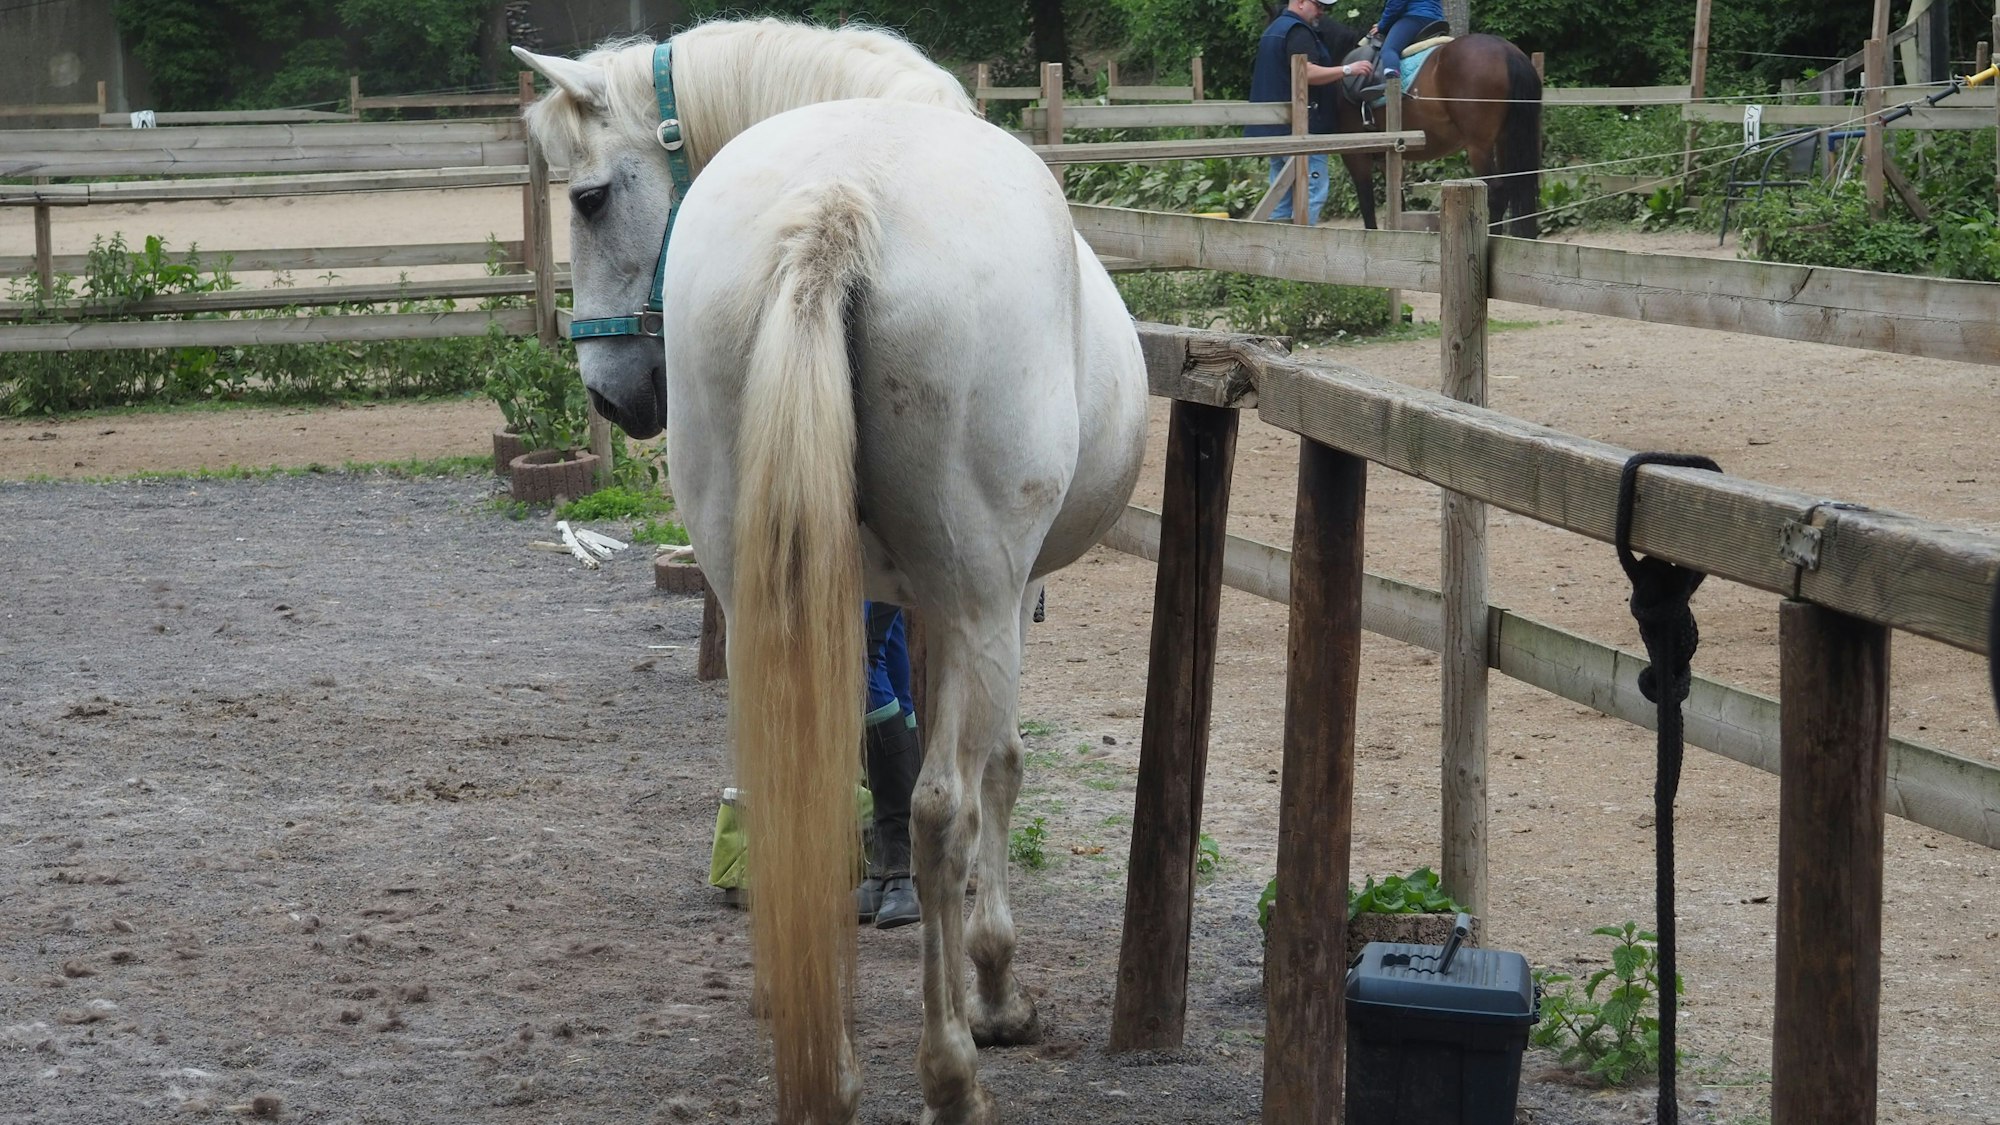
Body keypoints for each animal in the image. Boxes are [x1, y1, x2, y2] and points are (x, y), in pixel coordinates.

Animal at [513, 19, 1149, 1124]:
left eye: (588, 196)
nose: (609, 396)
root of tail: (837, 202)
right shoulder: (995, 601)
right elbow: (998, 770)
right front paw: (996, 987)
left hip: (763, 584)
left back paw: (828, 1058)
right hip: (977, 598)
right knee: (943, 810)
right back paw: (951, 1071)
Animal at [1317, 20, 1543, 237]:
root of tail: (1507, 50)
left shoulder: (1356, 155)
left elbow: (1367, 206)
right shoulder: (1388, 156)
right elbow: (1398, 202)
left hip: (1479, 147)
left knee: (1497, 193)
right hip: (1505, 141)